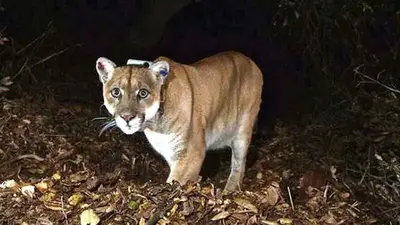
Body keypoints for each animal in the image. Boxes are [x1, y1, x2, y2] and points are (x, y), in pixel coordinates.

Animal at [95, 51, 264, 192]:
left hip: (243, 130)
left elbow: (175, 181)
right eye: (116, 92)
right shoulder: (172, 154)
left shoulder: (191, 153)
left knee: (239, 164)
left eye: (143, 93)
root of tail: (250, 61)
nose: (127, 117)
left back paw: (229, 190)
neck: (155, 125)